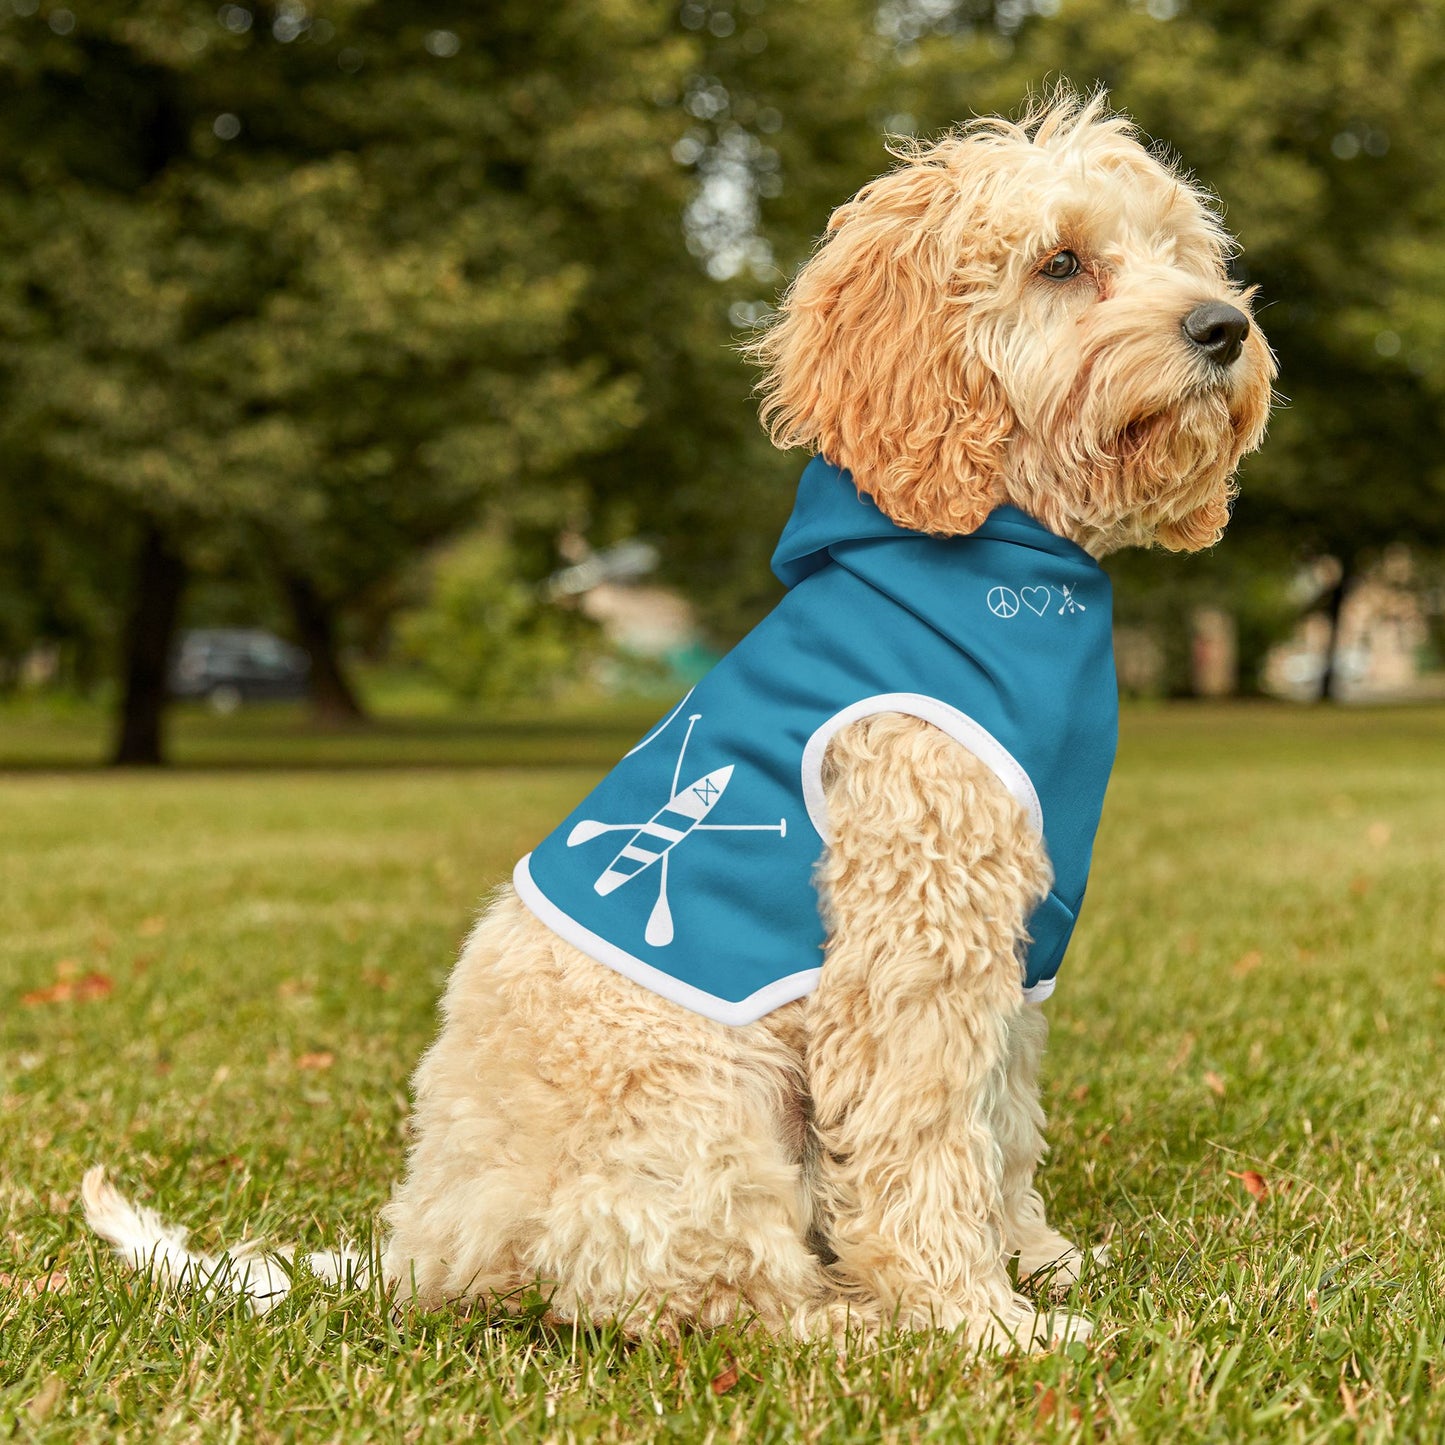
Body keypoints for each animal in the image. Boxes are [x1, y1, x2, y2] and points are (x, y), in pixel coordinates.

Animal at [84, 93, 1271, 1352]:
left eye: (1180, 252)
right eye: (1059, 262)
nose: (1222, 327)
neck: (999, 561)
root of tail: (424, 1246)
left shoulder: (1013, 944)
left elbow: (999, 1121)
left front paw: (1034, 1260)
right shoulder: (913, 938)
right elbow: (924, 1138)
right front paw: (976, 1318)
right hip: (703, 1102)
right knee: (701, 1291)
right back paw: (852, 1322)